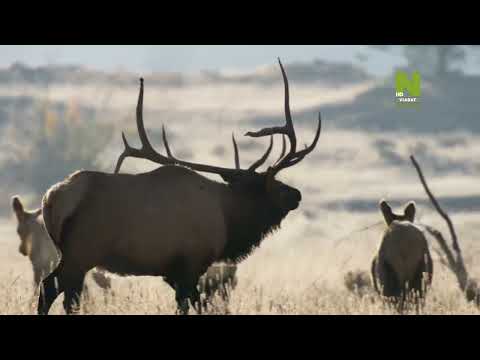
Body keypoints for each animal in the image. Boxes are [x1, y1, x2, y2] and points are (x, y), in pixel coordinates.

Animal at [36, 59, 322, 316]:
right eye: (272, 185)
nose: (297, 194)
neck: (227, 220)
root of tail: (51, 200)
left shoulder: (172, 272)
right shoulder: (191, 263)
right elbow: (190, 306)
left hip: (70, 254)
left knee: (55, 291)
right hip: (81, 253)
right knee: (54, 290)